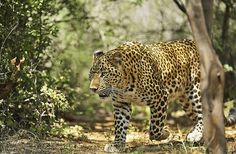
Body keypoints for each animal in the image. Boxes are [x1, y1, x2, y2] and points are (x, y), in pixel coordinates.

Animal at [88, 39, 236, 152]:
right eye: (91, 74)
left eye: (103, 74)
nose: (92, 89)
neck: (123, 86)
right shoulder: (121, 104)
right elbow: (120, 126)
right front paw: (117, 145)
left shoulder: (159, 97)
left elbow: (155, 128)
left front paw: (166, 133)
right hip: (186, 101)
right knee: (197, 116)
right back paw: (198, 138)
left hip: (196, 90)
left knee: (202, 113)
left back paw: (195, 135)